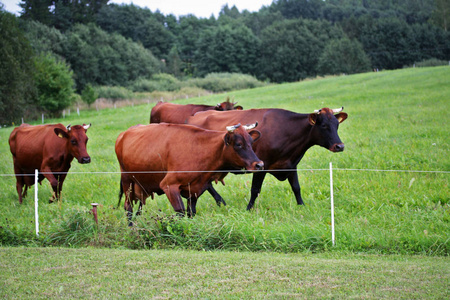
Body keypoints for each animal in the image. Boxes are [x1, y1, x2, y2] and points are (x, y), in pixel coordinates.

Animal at [114, 122, 264, 223]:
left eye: (251, 142)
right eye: (238, 144)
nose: (259, 164)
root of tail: (123, 134)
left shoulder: (195, 190)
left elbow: (191, 212)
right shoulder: (169, 185)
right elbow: (180, 212)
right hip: (127, 180)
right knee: (128, 207)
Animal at [187, 107, 348, 209]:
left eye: (337, 124)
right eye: (324, 125)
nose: (340, 146)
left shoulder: (291, 165)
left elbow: (296, 187)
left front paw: (301, 206)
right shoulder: (261, 165)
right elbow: (255, 189)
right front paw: (249, 209)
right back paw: (221, 201)